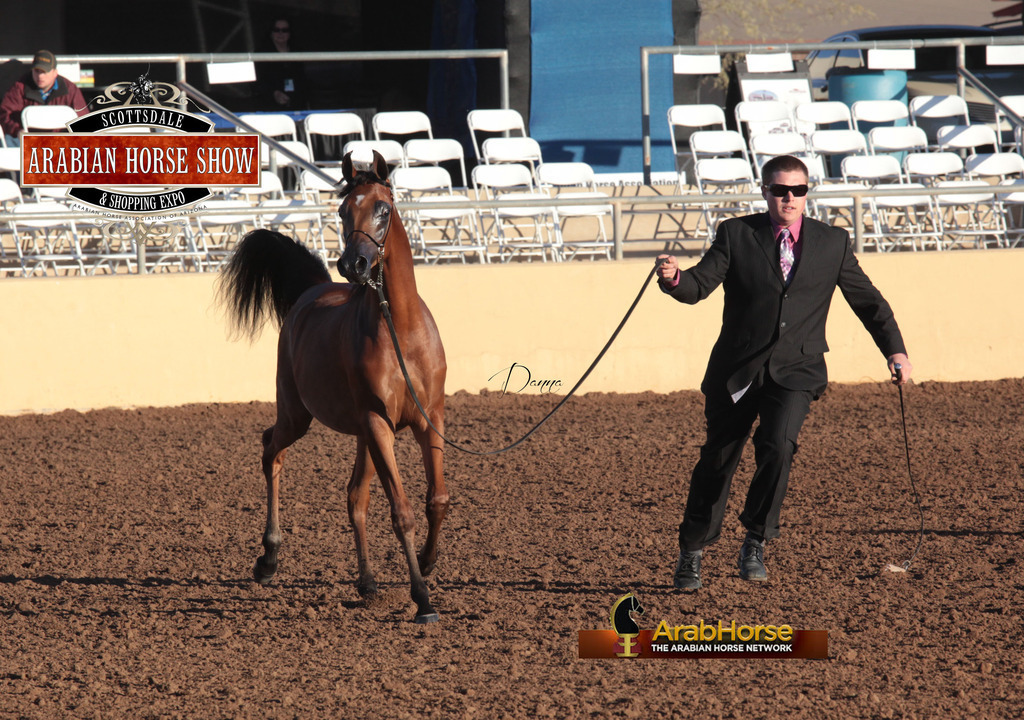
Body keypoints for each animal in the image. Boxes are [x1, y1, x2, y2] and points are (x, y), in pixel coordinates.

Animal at [218, 150, 448, 624]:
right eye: (343, 210)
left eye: (383, 208)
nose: (352, 265)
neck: (402, 330)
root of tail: (312, 291)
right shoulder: (379, 423)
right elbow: (402, 511)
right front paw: (422, 598)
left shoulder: (429, 419)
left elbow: (436, 499)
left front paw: (428, 561)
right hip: (299, 416)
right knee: (271, 450)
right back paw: (268, 559)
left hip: (362, 434)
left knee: (354, 497)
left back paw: (367, 583)